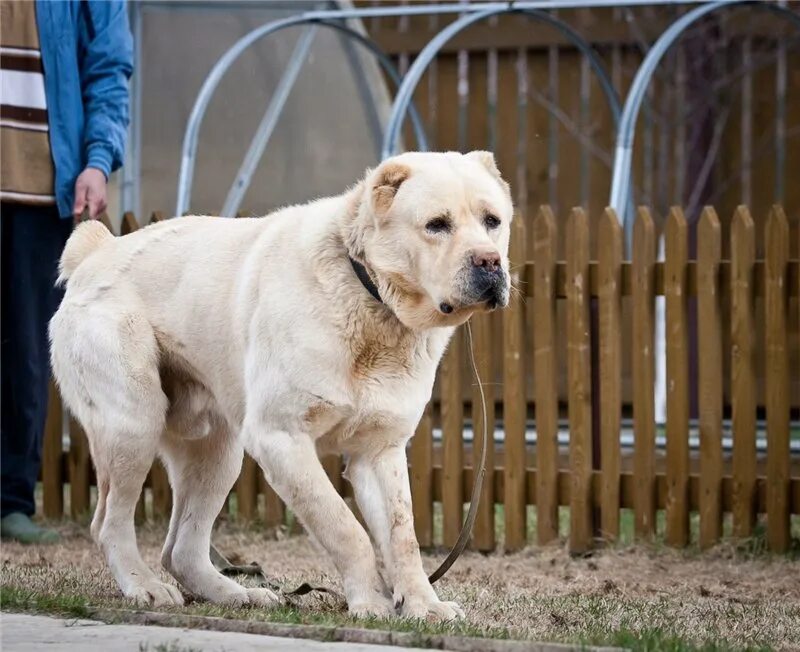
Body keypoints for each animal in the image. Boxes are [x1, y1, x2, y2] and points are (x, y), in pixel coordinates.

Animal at [50, 149, 512, 620]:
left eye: (492, 221)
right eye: (437, 224)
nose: (490, 261)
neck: (368, 295)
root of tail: (97, 251)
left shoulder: (378, 450)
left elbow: (403, 537)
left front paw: (424, 606)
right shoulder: (281, 437)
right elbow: (344, 528)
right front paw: (371, 602)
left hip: (219, 452)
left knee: (181, 549)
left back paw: (239, 595)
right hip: (134, 426)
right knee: (109, 522)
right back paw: (145, 587)